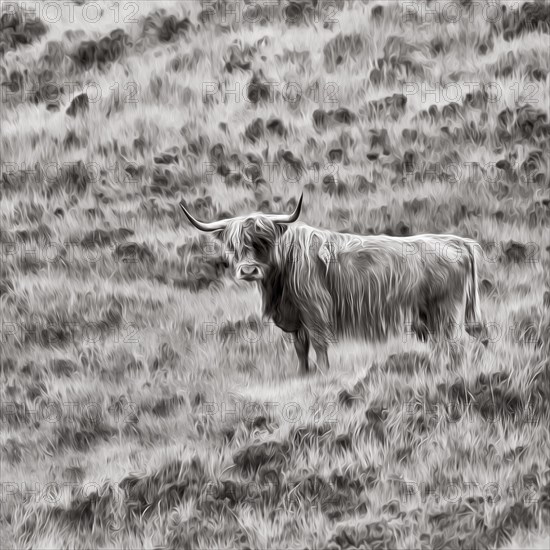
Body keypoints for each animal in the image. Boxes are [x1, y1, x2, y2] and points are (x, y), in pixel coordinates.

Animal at [181, 195, 484, 376]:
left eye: (263, 242)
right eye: (234, 245)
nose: (248, 270)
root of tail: (457, 241)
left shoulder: (315, 309)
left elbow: (319, 343)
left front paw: (324, 373)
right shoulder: (297, 317)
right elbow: (300, 347)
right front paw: (303, 374)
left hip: (447, 311)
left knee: (455, 344)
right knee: (444, 345)